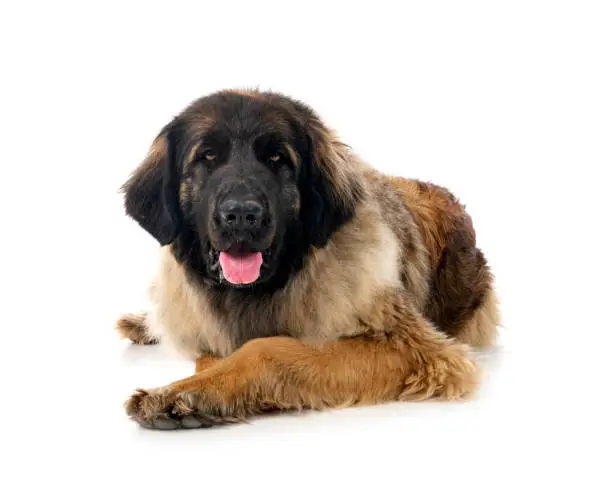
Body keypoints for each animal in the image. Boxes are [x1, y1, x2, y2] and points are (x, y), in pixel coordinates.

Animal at [117, 88, 500, 430]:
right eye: (208, 156)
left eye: (277, 158)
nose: (241, 215)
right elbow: (213, 354)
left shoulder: (412, 348)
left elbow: (268, 349)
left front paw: (193, 393)